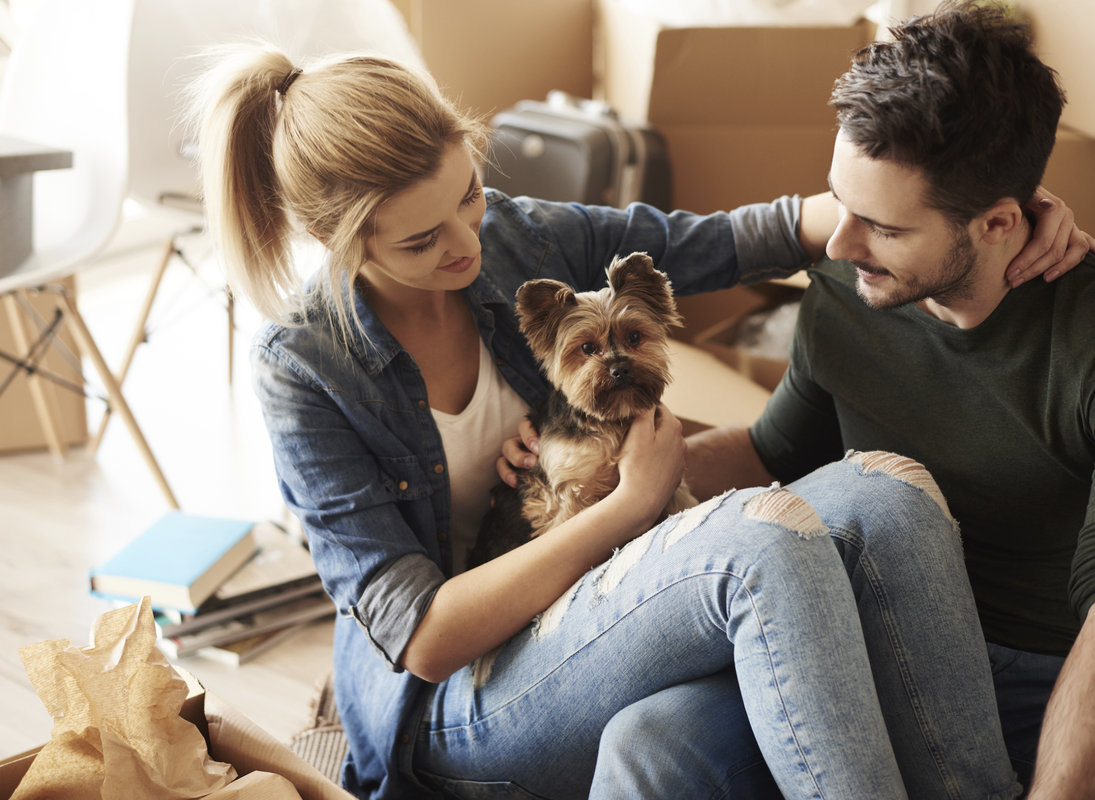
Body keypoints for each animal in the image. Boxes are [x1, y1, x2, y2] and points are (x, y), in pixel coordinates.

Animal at [466, 250, 696, 569]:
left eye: (634, 337)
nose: (620, 368)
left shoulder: (674, 483)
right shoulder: (569, 491)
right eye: (587, 347)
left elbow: (683, 500)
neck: (610, 419)